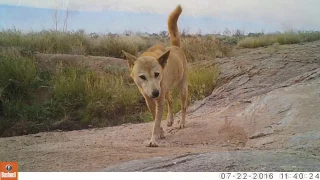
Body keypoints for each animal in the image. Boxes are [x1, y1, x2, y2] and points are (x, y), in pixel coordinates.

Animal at [122, 4, 188, 147]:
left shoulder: (159, 100)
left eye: (157, 74)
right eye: (142, 77)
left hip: (181, 88)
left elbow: (156, 122)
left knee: (183, 106)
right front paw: (160, 132)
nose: (155, 93)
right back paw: (170, 120)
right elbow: (155, 119)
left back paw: (181, 123)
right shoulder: (149, 100)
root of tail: (175, 47)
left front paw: (153, 139)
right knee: (171, 101)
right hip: (166, 91)